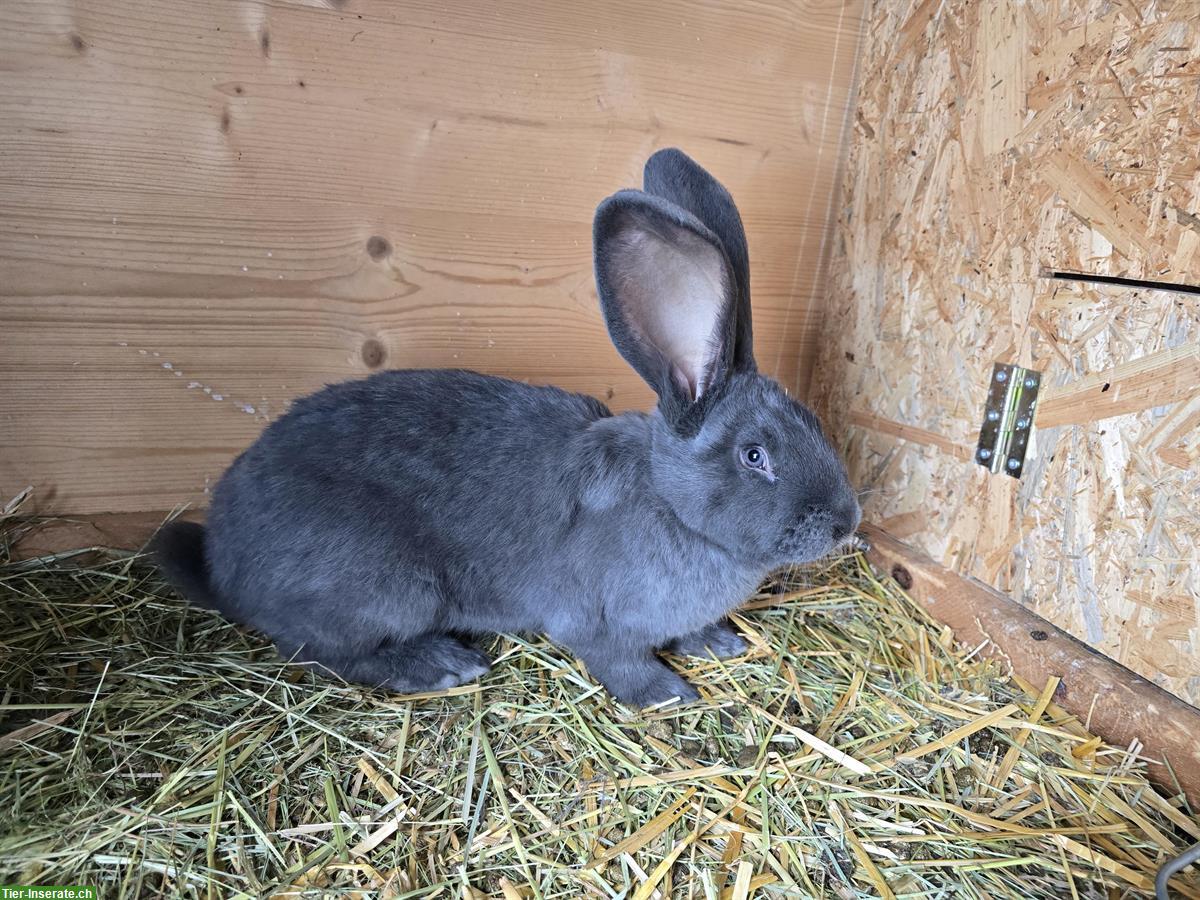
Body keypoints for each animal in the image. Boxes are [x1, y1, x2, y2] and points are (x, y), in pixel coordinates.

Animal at [153, 148, 861, 708]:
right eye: (754, 455)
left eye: (813, 420)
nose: (846, 521)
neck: (670, 502)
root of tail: (224, 565)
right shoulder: (593, 623)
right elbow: (619, 660)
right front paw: (667, 694)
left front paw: (718, 642)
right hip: (385, 589)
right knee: (319, 650)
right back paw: (441, 664)